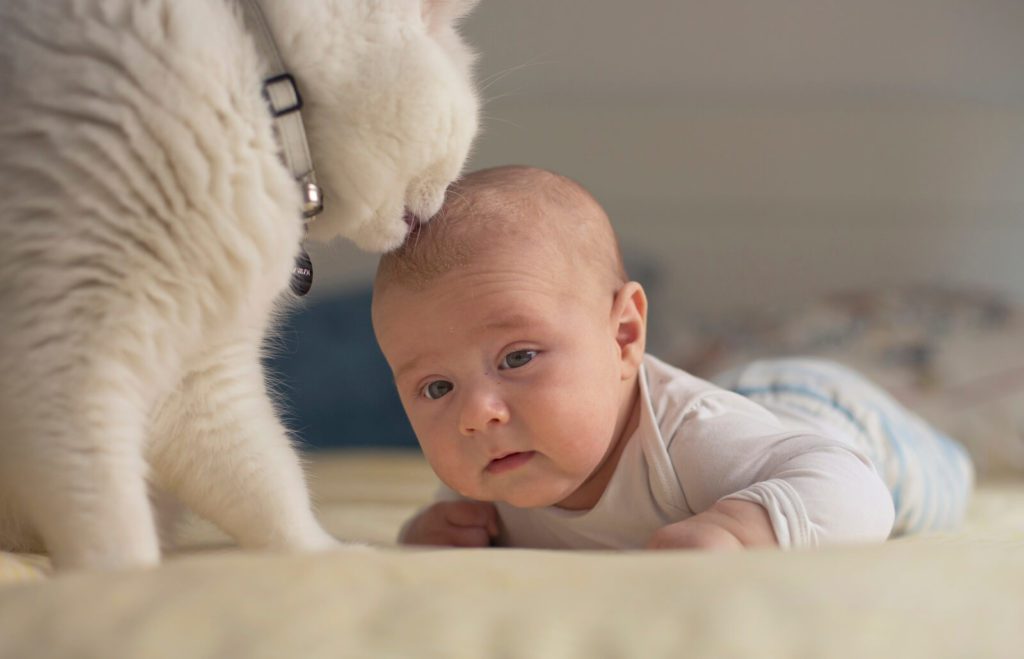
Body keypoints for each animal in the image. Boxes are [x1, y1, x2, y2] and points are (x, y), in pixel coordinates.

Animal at [0, 0, 479, 573]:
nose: (442, 206)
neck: (260, 88)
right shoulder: (64, 359)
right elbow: (110, 519)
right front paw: (122, 581)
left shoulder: (203, 377)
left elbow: (267, 482)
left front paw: (332, 557)